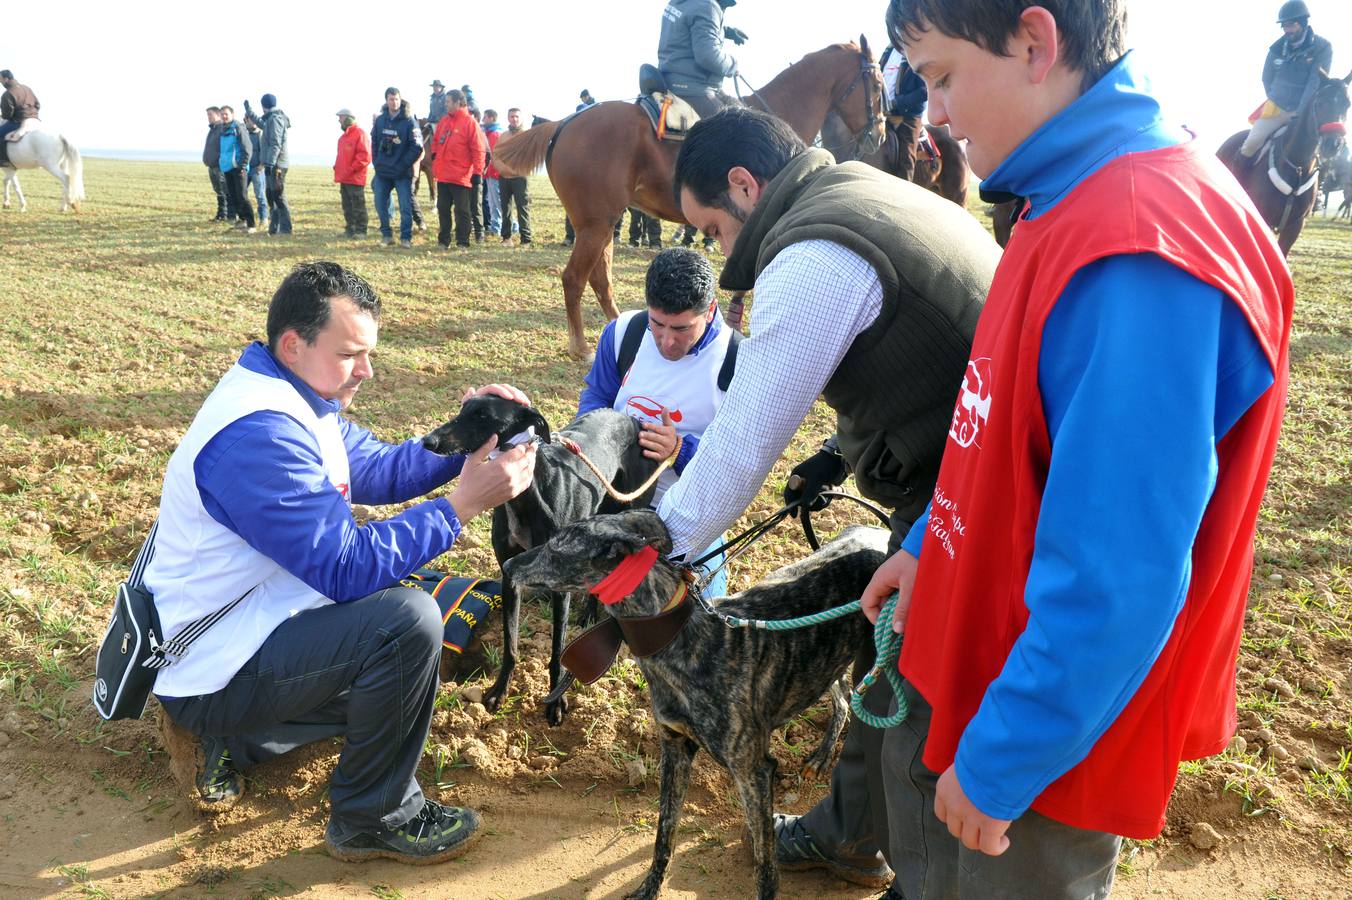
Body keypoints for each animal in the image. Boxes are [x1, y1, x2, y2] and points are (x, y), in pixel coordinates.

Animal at [494, 35, 886, 356]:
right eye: (878, 84)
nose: (879, 134)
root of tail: (564, 123)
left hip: (603, 224)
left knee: (600, 279)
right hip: (595, 224)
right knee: (574, 279)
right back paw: (581, 347)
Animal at [1222, 71, 1346, 254]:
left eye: (1347, 105)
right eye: (1320, 103)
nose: (1334, 144)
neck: (1296, 167)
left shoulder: (1295, 226)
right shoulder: (1263, 218)